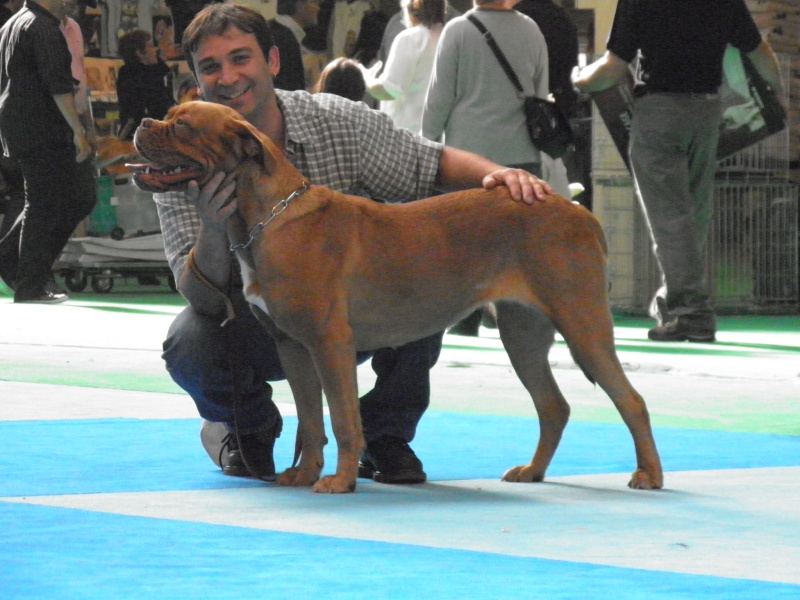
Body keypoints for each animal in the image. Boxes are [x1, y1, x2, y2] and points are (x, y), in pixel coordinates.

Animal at [131, 102, 664, 492]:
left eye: (182, 127)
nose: (142, 122)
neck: (263, 217)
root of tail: (577, 210)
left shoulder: (329, 344)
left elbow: (343, 418)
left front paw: (340, 481)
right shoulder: (293, 347)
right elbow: (310, 419)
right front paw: (302, 473)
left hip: (582, 323)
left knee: (632, 400)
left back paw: (649, 475)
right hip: (522, 333)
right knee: (554, 406)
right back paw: (533, 472)